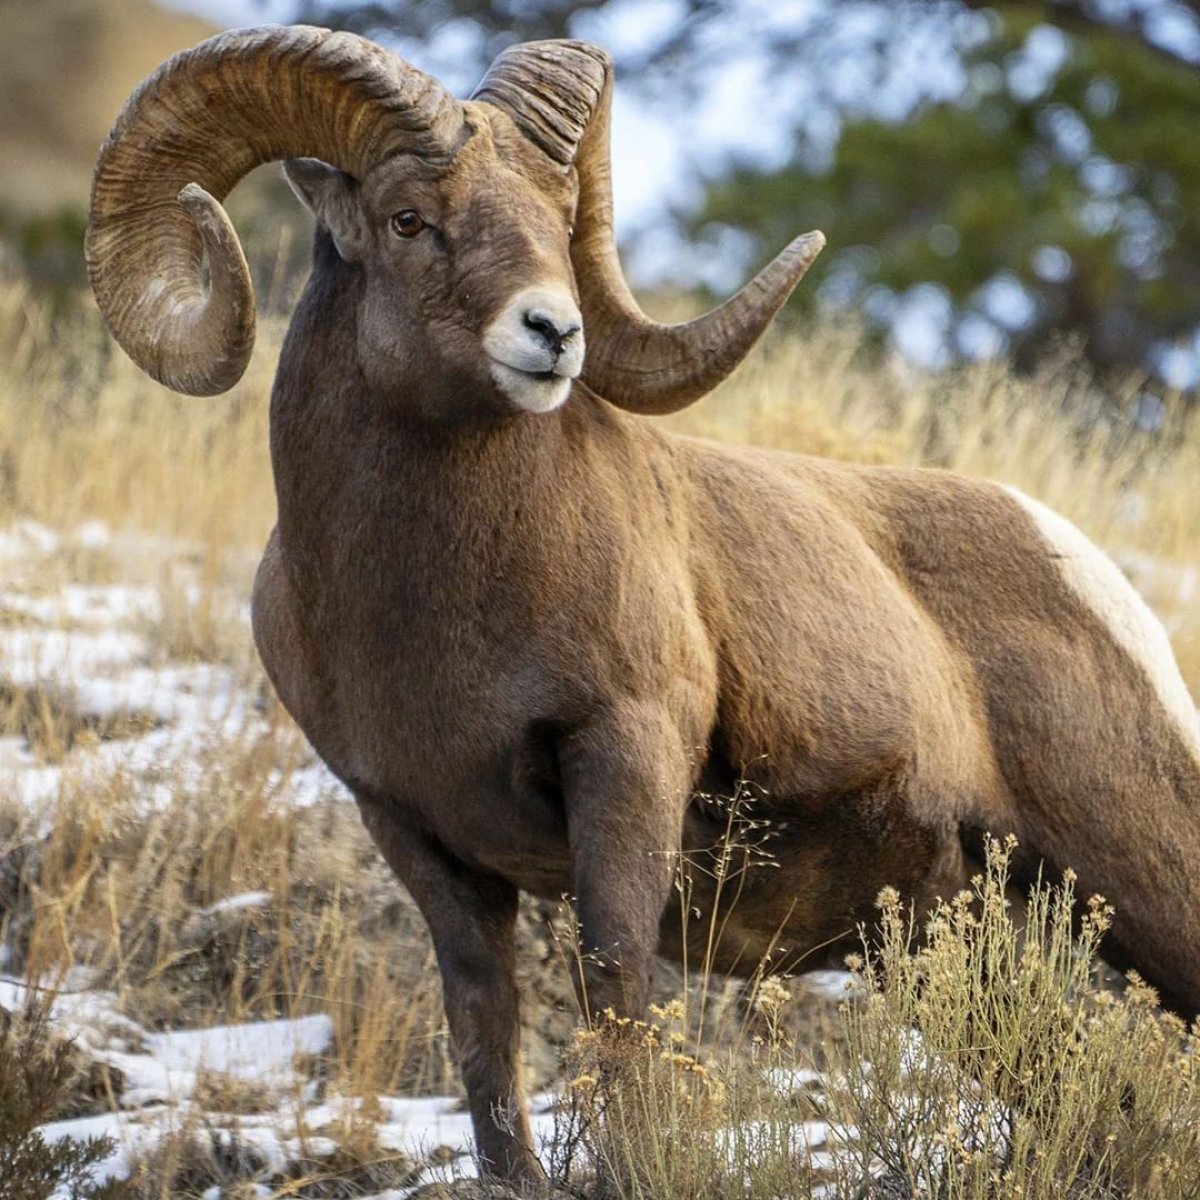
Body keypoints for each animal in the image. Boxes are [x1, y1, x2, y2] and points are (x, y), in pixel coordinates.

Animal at [87, 25, 1200, 1180]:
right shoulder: (409, 825)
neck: (422, 612)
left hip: (1145, 882)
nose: (552, 334)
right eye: (407, 218)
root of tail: (1087, 573)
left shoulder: (625, 755)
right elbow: (482, 1026)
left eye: (554, 217)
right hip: (943, 949)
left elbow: (615, 988)